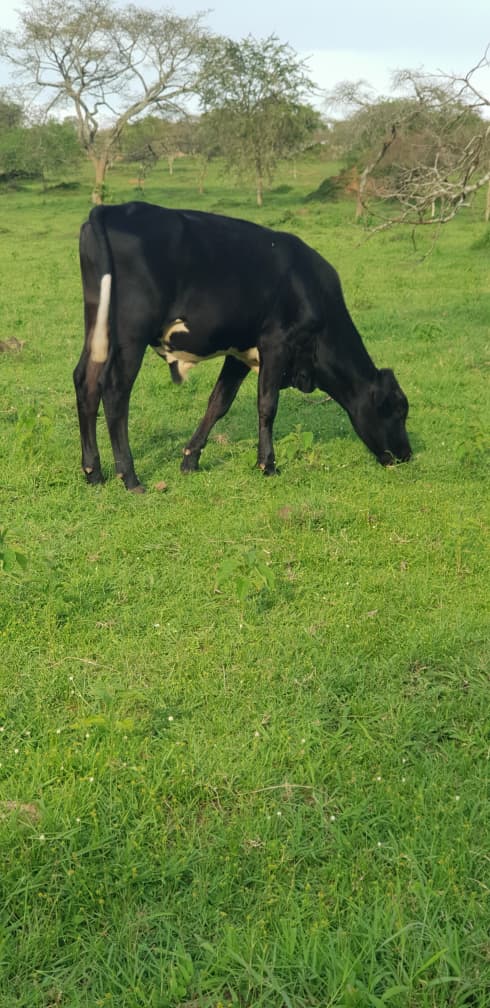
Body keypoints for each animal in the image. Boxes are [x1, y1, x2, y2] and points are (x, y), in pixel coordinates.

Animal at [74, 201, 411, 492]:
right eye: (397, 409)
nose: (406, 455)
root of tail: (114, 209)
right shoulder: (276, 343)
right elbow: (267, 404)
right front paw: (267, 464)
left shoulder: (239, 353)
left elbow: (218, 403)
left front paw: (190, 460)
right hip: (132, 333)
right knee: (115, 392)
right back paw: (129, 477)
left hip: (97, 323)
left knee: (85, 382)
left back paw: (93, 472)